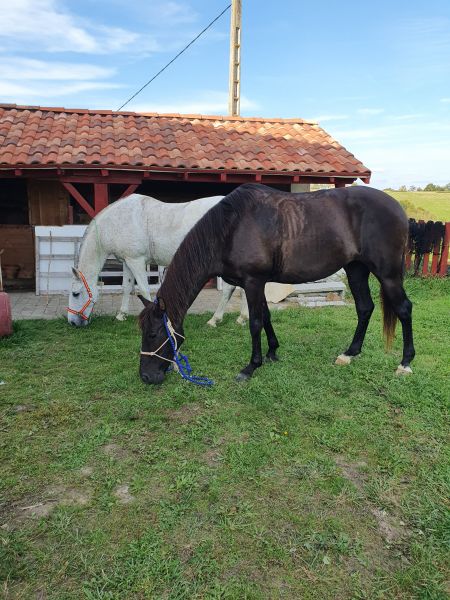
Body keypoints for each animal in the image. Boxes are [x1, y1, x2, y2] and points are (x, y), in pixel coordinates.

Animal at [68, 195, 248, 328]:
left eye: (75, 293)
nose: (72, 322)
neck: (116, 222)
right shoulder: (127, 261)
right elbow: (126, 287)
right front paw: (121, 315)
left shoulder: (136, 261)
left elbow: (144, 289)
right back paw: (240, 318)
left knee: (230, 288)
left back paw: (215, 320)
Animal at [138, 184, 414, 384]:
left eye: (153, 334)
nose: (146, 377)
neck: (231, 228)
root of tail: (398, 208)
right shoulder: (256, 282)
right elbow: (266, 316)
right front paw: (272, 352)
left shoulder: (252, 281)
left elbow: (255, 322)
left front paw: (251, 366)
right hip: (356, 269)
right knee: (365, 308)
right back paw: (349, 354)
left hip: (388, 274)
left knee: (404, 309)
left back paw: (405, 363)